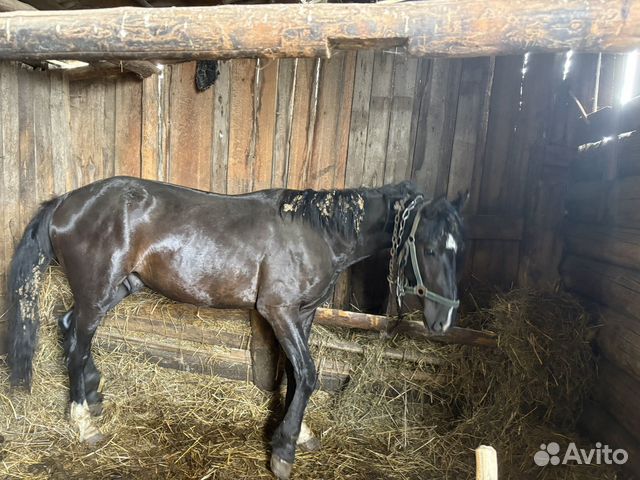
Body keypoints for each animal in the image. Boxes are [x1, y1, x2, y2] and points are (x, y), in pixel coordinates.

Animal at [6, 176, 466, 479]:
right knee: (77, 341)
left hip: (118, 287)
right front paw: (283, 451)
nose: (442, 321)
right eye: (428, 247)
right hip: (97, 288)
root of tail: (66, 201)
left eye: (457, 248)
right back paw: (83, 421)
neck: (315, 235)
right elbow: (308, 374)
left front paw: (299, 434)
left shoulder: (302, 315)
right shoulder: (279, 312)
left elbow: (294, 375)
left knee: (72, 329)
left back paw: (93, 394)